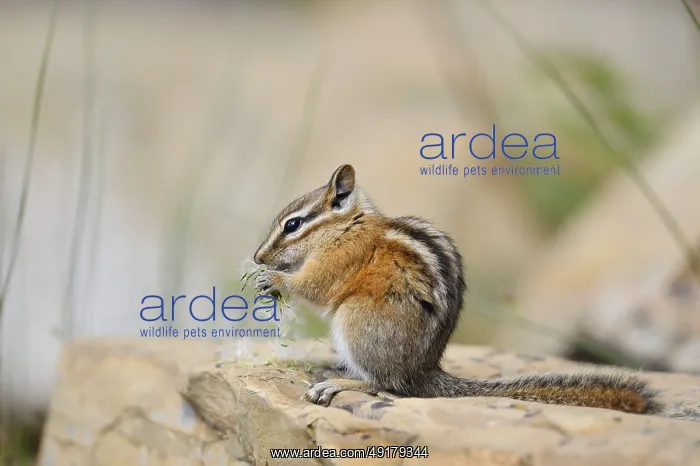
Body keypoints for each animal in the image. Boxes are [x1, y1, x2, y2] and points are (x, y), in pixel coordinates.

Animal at [253, 164, 660, 415]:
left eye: (293, 224)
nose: (258, 257)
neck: (349, 225)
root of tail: (423, 371)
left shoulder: (341, 259)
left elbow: (317, 287)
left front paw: (275, 279)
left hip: (357, 320)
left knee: (384, 385)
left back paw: (338, 383)